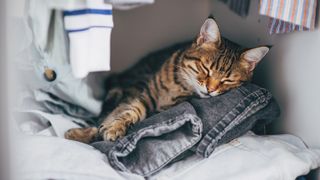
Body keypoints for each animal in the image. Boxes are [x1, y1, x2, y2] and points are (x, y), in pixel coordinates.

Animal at [65, 17, 270, 143]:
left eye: (227, 81)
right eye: (206, 69)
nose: (210, 89)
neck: (180, 85)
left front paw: (101, 131)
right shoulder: (145, 94)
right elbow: (128, 110)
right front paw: (112, 126)